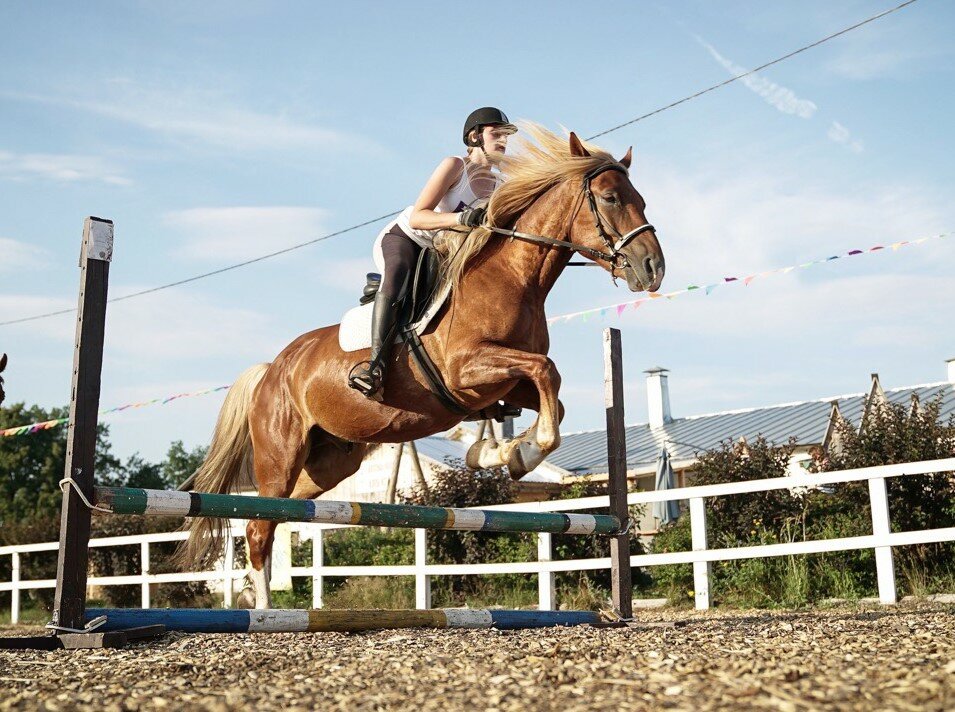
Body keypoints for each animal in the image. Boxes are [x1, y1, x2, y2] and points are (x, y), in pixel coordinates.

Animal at [179, 126, 668, 608]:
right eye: (610, 198)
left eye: (642, 200)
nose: (653, 268)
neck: (512, 277)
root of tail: (274, 369)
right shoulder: (466, 370)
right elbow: (547, 370)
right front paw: (521, 453)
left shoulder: (503, 384)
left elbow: (552, 393)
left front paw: (499, 452)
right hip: (280, 453)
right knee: (259, 524)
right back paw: (260, 607)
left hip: (331, 463)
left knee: (275, 514)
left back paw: (248, 592)